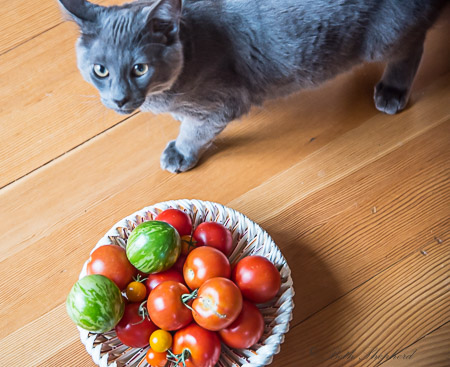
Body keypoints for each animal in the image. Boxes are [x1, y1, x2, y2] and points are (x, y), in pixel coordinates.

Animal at [57, 0, 446, 174]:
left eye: (140, 68)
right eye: (100, 70)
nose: (120, 99)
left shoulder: (220, 104)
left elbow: (194, 131)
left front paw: (179, 153)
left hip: (384, 36)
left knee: (413, 47)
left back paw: (392, 92)